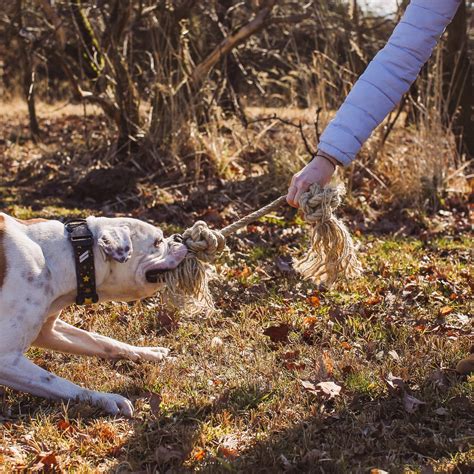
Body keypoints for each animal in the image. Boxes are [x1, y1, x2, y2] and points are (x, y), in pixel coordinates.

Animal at [0, 213, 189, 416]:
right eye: (157, 242)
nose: (179, 237)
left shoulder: (49, 331)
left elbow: (101, 341)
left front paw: (147, 352)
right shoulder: (6, 358)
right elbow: (58, 382)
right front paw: (104, 398)